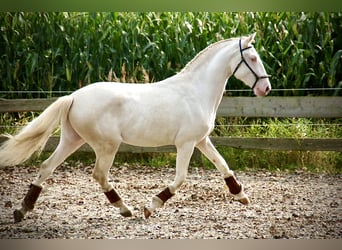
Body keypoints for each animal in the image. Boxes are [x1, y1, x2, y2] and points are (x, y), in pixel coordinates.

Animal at [0, 32, 272, 222]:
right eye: (253, 58)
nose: (265, 88)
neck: (196, 91)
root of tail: (74, 97)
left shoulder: (201, 140)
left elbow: (223, 165)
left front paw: (241, 195)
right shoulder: (185, 144)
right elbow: (180, 178)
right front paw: (151, 206)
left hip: (72, 139)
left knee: (46, 167)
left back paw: (22, 210)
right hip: (107, 145)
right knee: (99, 174)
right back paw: (126, 208)